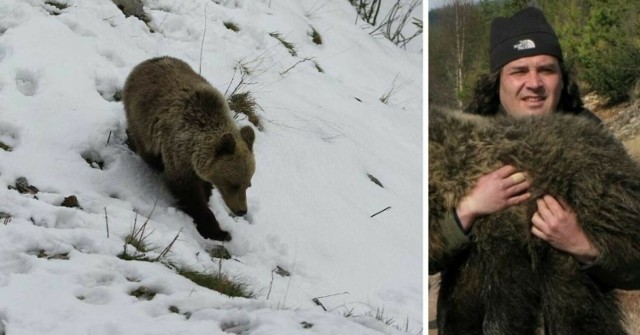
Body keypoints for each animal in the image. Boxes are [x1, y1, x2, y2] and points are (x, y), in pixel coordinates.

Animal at [124, 57, 256, 242]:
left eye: (248, 184)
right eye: (233, 184)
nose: (242, 210)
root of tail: (146, 62)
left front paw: (208, 193)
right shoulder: (178, 154)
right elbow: (188, 193)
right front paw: (218, 231)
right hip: (140, 117)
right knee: (146, 149)